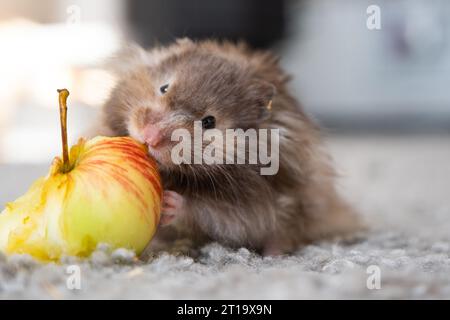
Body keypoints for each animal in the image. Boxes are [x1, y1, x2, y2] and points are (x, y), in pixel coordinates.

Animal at [95, 38, 362, 256]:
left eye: (209, 122)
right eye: (164, 87)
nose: (149, 137)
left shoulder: (251, 203)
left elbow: (212, 211)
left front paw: (171, 202)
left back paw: (274, 254)